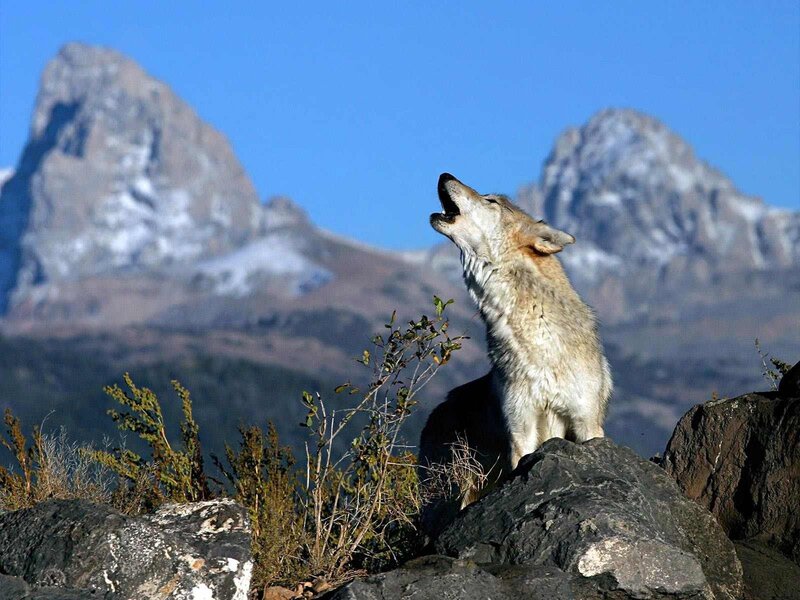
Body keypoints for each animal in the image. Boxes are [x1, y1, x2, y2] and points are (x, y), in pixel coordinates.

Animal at [419, 173, 612, 530]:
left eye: (491, 200)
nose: (445, 175)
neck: (539, 345)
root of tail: (435, 413)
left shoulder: (586, 423)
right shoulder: (521, 428)